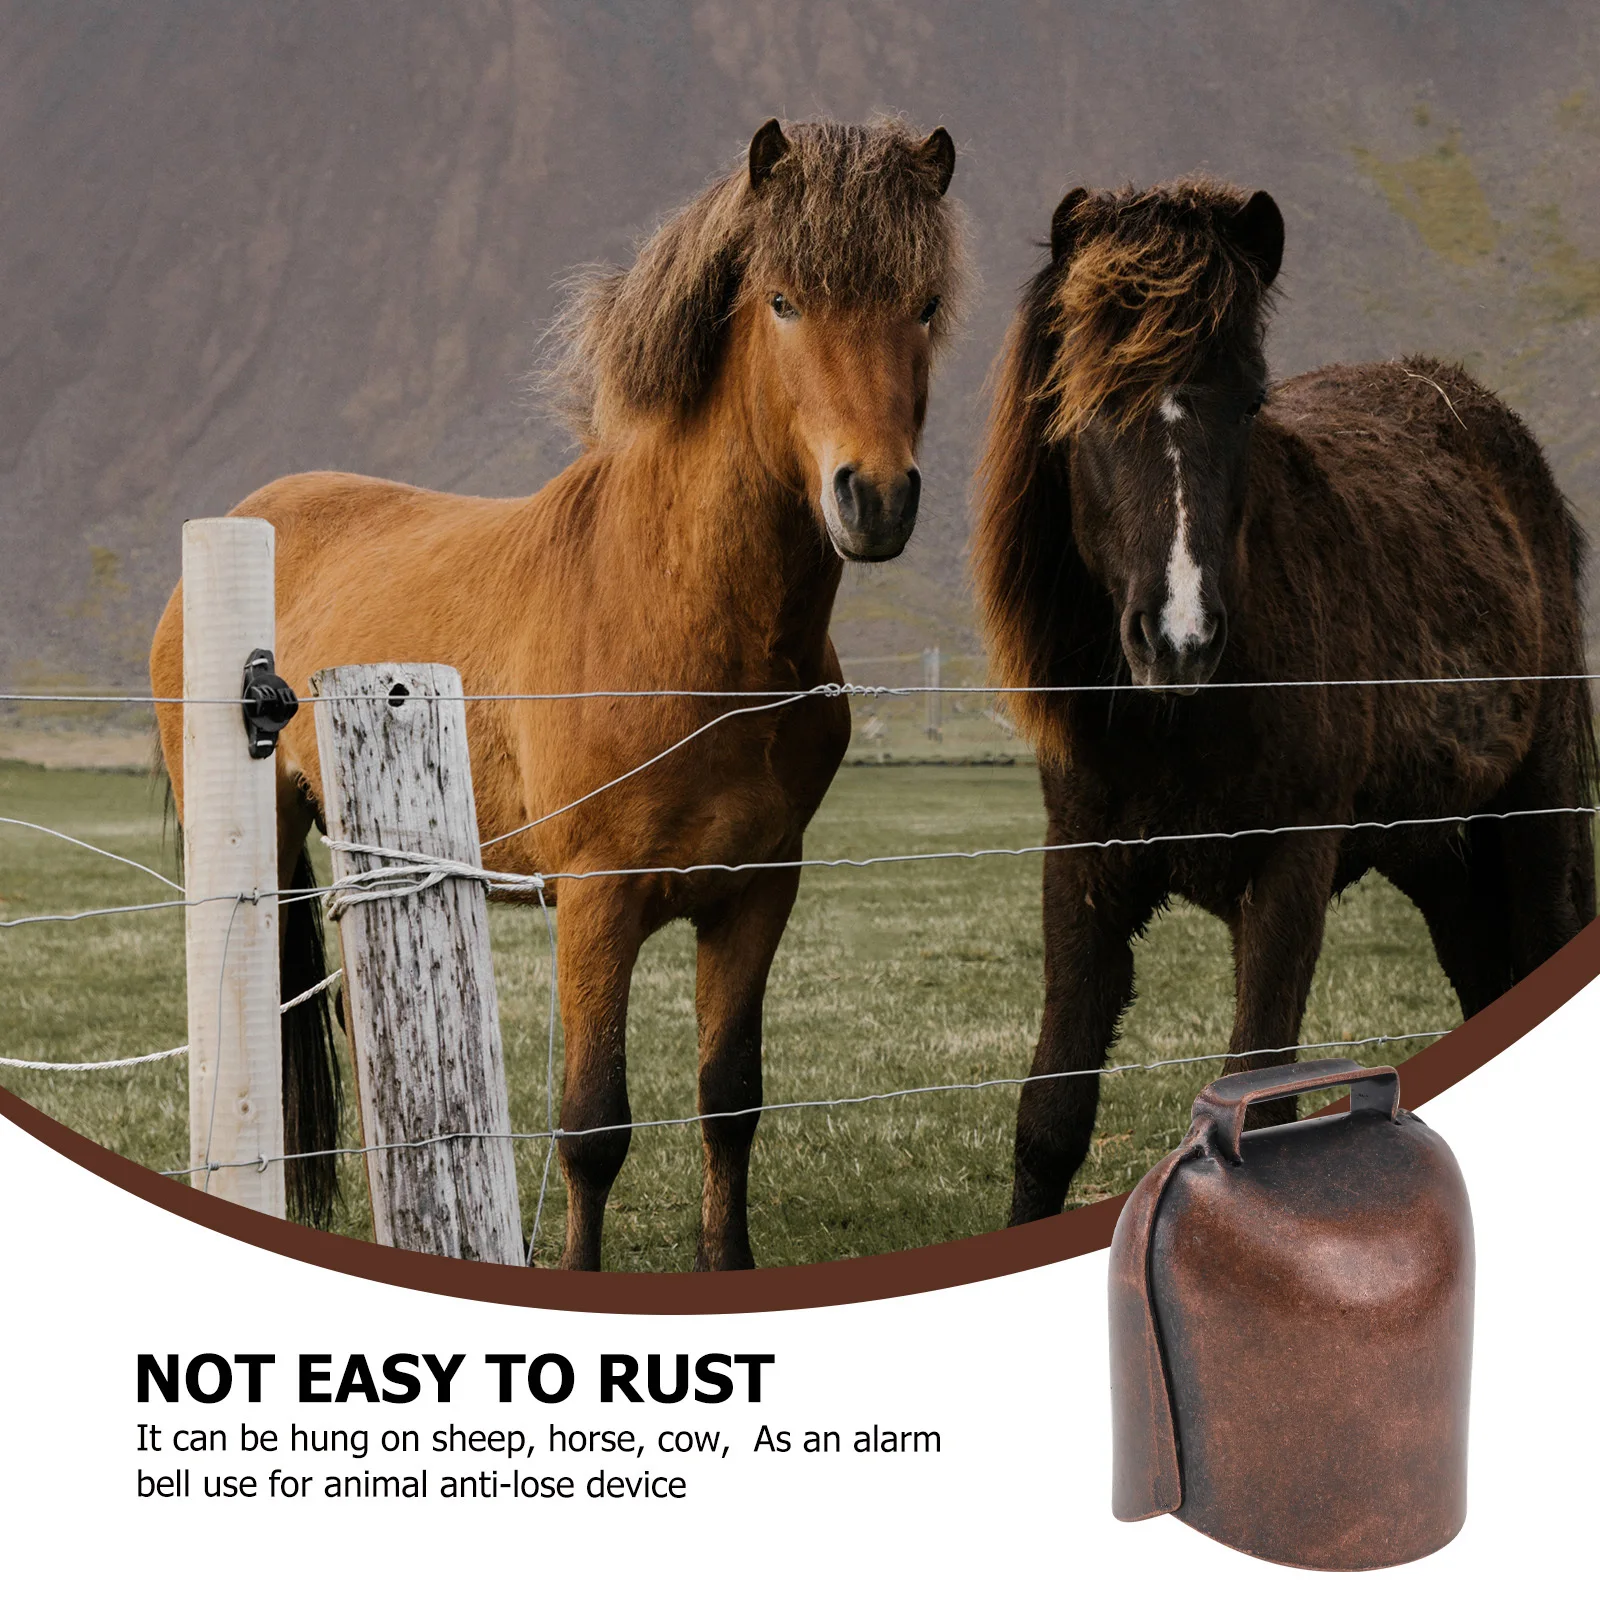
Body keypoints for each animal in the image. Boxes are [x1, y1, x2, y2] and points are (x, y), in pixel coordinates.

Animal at [151, 117, 968, 1268]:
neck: (684, 624)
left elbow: (731, 1099)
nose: (877, 497)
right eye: (783, 300)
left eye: (925, 305)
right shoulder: (597, 899)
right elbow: (593, 1126)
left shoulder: (758, 892)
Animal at [972, 177, 1595, 1225]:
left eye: (1253, 400)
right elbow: (1051, 1115)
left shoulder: (1289, 873)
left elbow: (1260, 1103)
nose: (1179, 638)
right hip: (1439, 851)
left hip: (1534, 815)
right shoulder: (1082, 869)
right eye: (1089, 398)